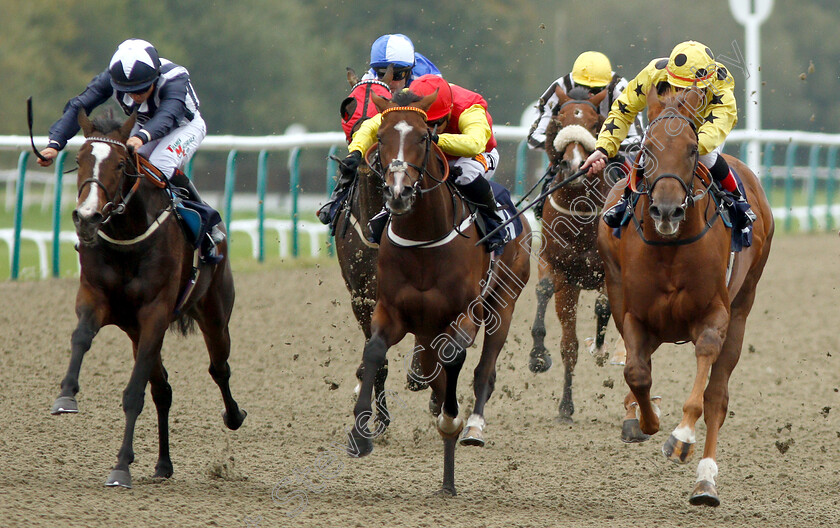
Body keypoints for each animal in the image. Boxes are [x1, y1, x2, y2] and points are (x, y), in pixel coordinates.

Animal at [51, 110, 244, 486]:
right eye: (79, 160)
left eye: (120, 164)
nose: (87, 217)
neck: (128, 237)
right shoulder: (96, 298)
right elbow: (81, 337)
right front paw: (66, 395)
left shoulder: (155, 314)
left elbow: (134, 394)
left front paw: (121, 468)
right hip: (136, 331)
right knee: (163, 390)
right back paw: (163, 464)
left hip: (214, 313)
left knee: (219, 367)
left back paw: (234, 416)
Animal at [350, 87, 532, 496]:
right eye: (380, 138)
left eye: (424, 137)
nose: (398, 193)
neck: (423, 239)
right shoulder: (391, 311)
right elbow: (374, 352)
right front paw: (360, 433)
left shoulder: (463, 315)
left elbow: (456, 361)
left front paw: (451, 424)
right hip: (427, 326)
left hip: (503, 303)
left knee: (483, 369)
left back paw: (472, 427)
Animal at [524, 85, 624, 420]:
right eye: (559, 120)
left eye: (596, 124)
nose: (575, 166)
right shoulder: (559, 271)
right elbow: (546, 295)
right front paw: (538, 356)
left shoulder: (608, 272)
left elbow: (604, 307)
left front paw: (601, 349)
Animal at [596, 87, 776, 508]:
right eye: (647, 149)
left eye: (693, 149)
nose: (666, 210)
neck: (671, 246)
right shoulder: (634, 314)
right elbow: (636, 373)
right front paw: (645, 420)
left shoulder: (714, 315)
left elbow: (703, 392)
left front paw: (680, 437)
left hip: (743, 307)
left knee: (717, 396)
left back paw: (705, 482)